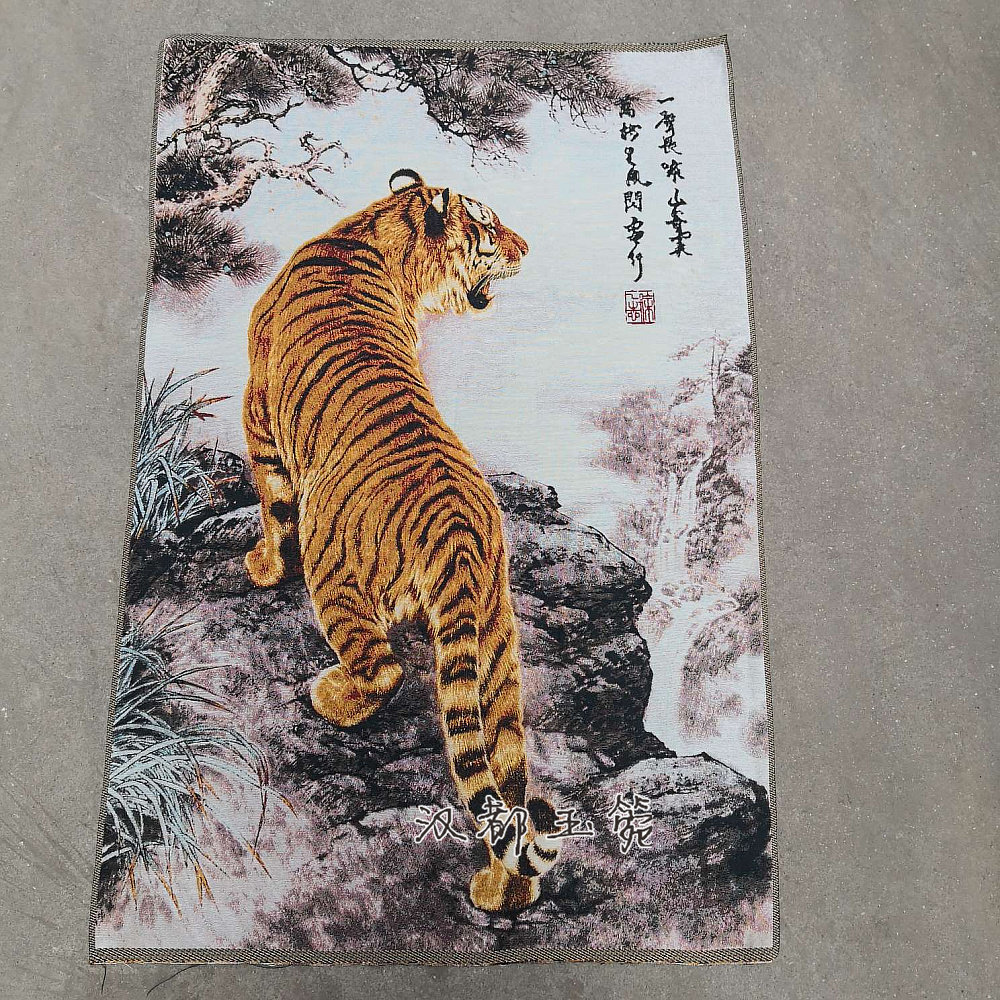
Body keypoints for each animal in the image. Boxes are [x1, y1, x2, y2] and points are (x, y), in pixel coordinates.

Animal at [242, 168, 560, 913]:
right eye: (489, 226)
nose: (528, 248)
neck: (379, 232)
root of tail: (461, 533)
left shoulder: (258, 411)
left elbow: (273, 505)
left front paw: (263, 567)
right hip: (497, 651)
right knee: (507, 783)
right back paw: (501, 894)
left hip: (337, 575)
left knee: (382, 668)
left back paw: (330, 697)